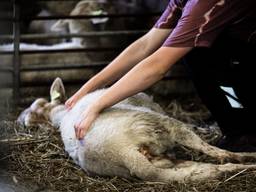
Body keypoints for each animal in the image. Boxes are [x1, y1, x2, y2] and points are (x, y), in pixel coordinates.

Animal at [17, 77, 256, 182]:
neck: (60, 114)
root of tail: (125, 155)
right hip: (160, 124)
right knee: (214, 152)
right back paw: (247, 160)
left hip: (163, 166)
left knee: (206, 171)